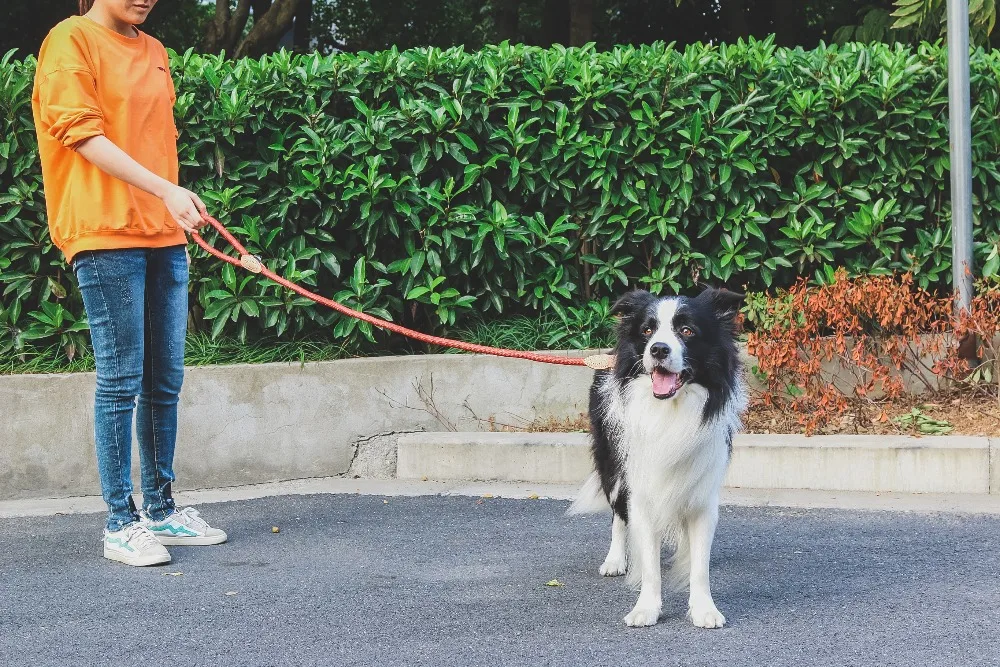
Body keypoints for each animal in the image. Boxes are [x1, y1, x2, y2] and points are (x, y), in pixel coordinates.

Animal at [572, 290, 744, 628]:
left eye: (687, 331)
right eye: (647, 330)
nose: (658, 349)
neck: (671, 410)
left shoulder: (703, 494)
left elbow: (700, 566)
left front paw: (704, 609)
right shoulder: (641, 489)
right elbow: (650, 563)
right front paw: (646, 609)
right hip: (613, 466)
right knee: (618, 515)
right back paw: (615, 560)